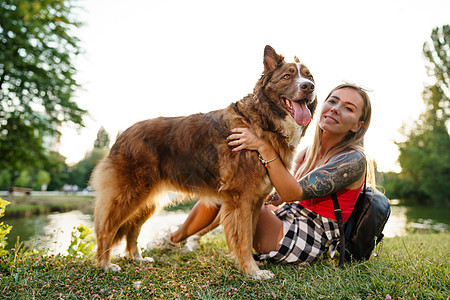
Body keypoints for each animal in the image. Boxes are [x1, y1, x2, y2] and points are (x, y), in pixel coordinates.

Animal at [91, 45, 316, 278]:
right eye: (288, 76)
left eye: (309, 77)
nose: (309, 87)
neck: (262, 121)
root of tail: (123, 135)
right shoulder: (241, 199)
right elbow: (244, 238)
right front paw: (252, 271)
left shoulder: (255, 201)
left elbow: (250, 234)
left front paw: (251, 266)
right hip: (129, 194)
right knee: (106, 228)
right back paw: (104, 264)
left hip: (147, 199)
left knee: (133, 228)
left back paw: (136, 258)